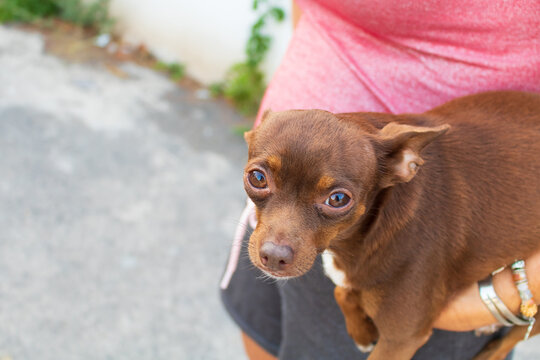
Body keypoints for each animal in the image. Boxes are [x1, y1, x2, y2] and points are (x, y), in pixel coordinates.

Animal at [243, 91, 540, 358]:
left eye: (337, 199)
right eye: (257, 178)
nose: (274, 256)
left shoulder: (401, 340)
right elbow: (342, 290)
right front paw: (362, 332)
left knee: (503, 346)